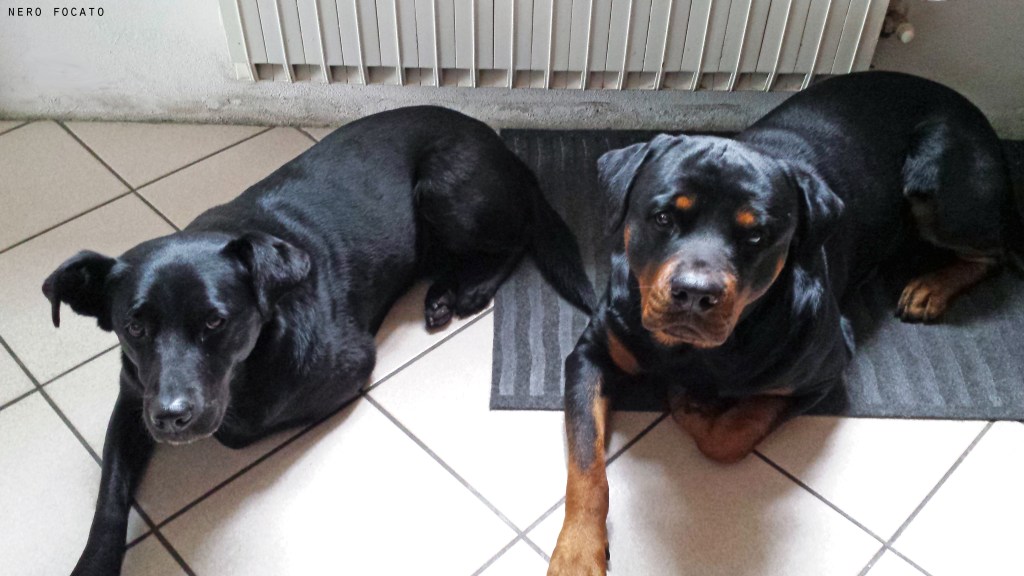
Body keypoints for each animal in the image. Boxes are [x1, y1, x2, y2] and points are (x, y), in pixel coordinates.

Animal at [42, 106, 596, 576]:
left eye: (215, 322)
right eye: (134, 328)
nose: (172, 417)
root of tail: (502, 147)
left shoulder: (346, 368)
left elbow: (241, 426)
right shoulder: (135, 397)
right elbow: (109, 494)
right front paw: (93, 562)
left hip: (444, 191)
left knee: (517, 239)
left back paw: (467, 290)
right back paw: (444, 289)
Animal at [547, 71, 1022, 575]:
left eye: (756, 235)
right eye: (662, 217)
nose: (695, 292)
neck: (692, 352)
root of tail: (970, 109)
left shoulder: (821, 371)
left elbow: (731, 434)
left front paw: (691, 403)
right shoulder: (592, 354)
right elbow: (586, 466)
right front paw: (577, 550)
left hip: (938, 188)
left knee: (994, 251)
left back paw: (930, 287)